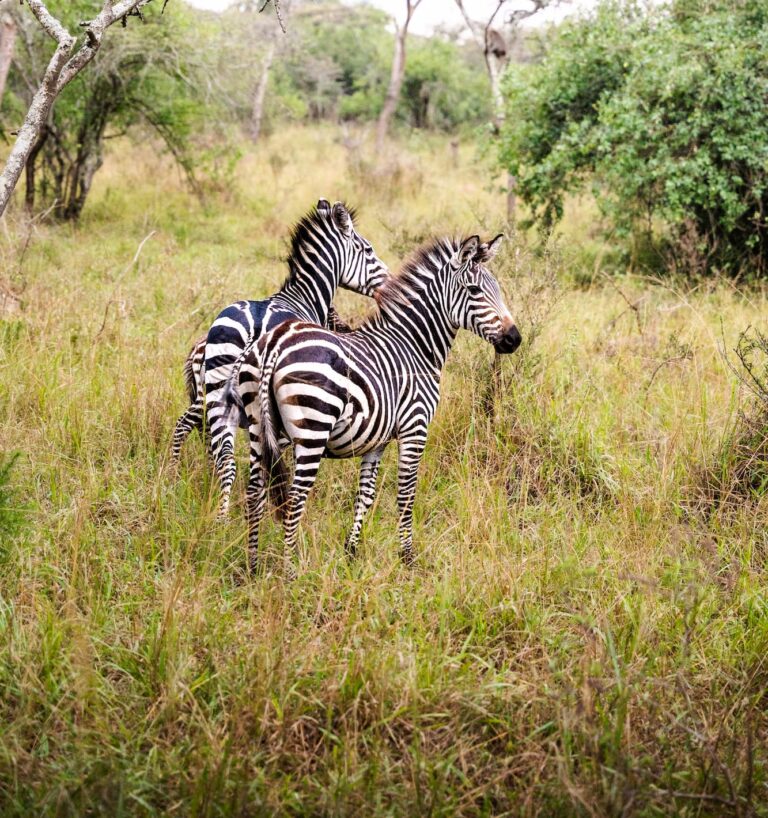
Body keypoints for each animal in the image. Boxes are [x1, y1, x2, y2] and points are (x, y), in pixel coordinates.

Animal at [172, 198, 390, 516]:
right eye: (369, 250)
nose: (390, 283)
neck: (300, 297)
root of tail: (256, 324)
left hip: (215, 386)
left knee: (219, 453)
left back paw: (209, 505)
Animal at [225, 230, 520, 572]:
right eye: (474, 290)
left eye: (497, 290)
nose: (515, 339)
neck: (414, 345)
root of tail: (275, 343)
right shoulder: (415, 428)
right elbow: (406, 495)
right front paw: (407, 558)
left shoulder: (376, 439)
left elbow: (365, 494)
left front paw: (351, 552)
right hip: (312, 429)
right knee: (295, 499)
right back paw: (290, 571)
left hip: (260, 429)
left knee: (254, 490)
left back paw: (253, 565)